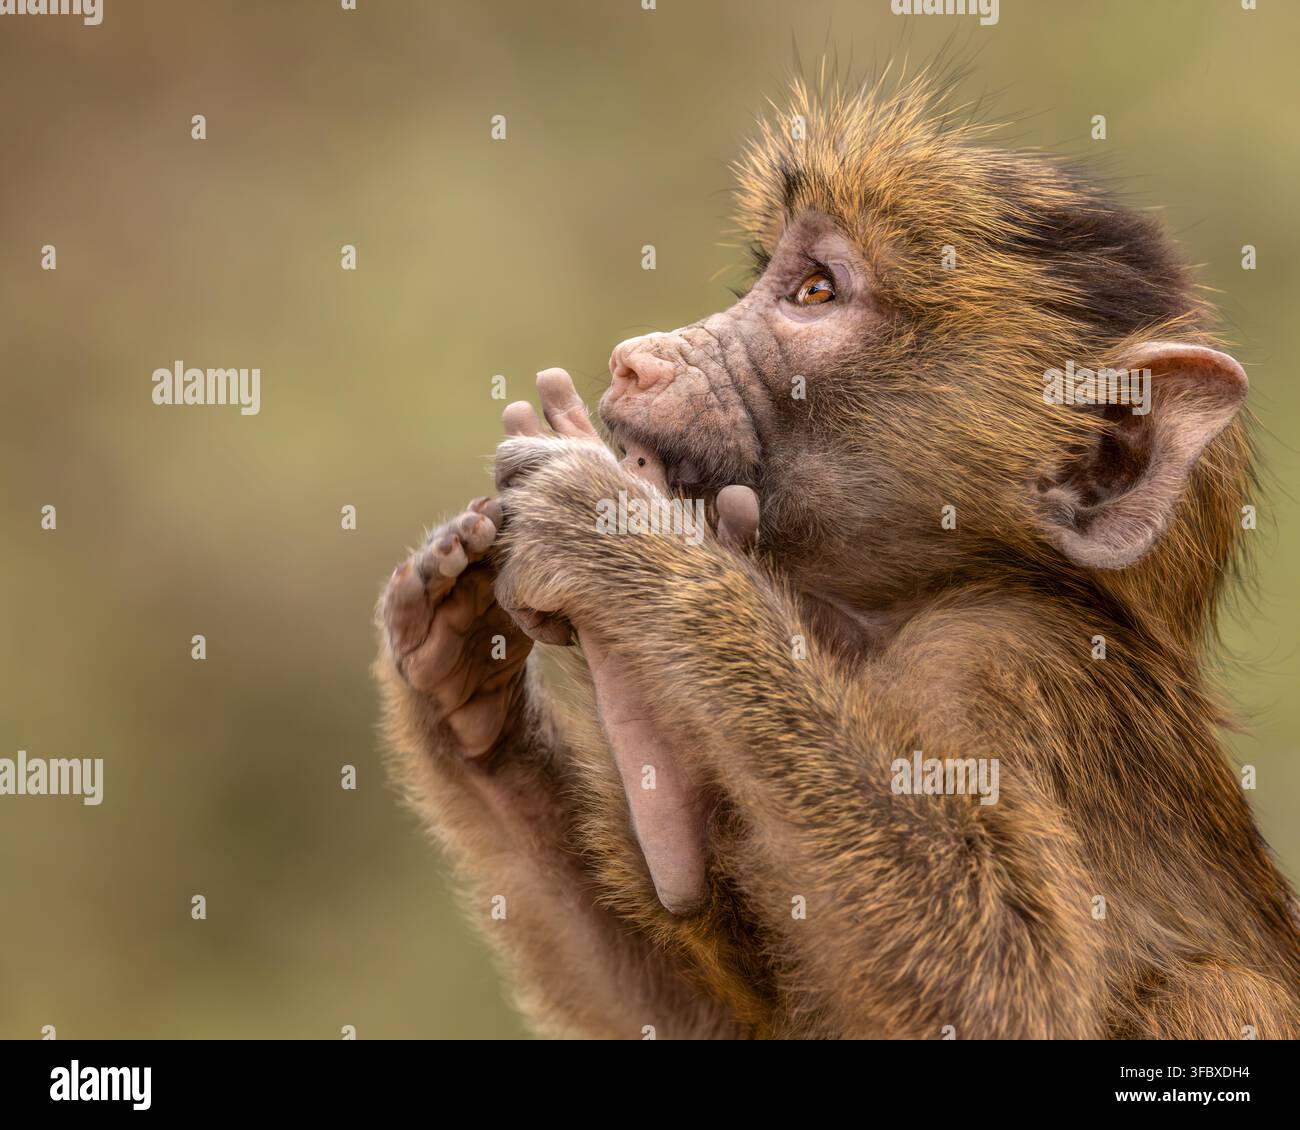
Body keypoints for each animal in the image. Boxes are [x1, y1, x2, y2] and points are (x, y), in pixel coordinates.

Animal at [375, 67, 1300, 1039]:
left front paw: (620, 535)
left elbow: (1003, 983)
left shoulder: (1003, 661)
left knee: (1212, 990)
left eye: (816, 291)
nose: (636, 361)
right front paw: (469, 703)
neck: (910, 602)